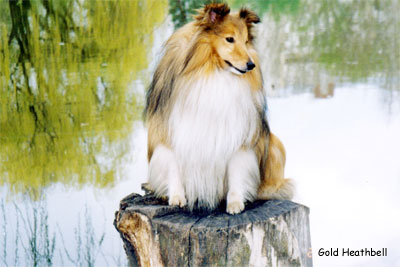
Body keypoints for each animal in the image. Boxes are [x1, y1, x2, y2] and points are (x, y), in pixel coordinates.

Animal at [145, 3, 294, 215]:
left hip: (273, 143)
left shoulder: (238, 137)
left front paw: (235, 203)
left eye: (246, 41)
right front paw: (177, 198)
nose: (251, 65)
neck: (213, 70)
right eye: (230, 39)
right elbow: (173, 167)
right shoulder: (169, 132)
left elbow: (236, 171)